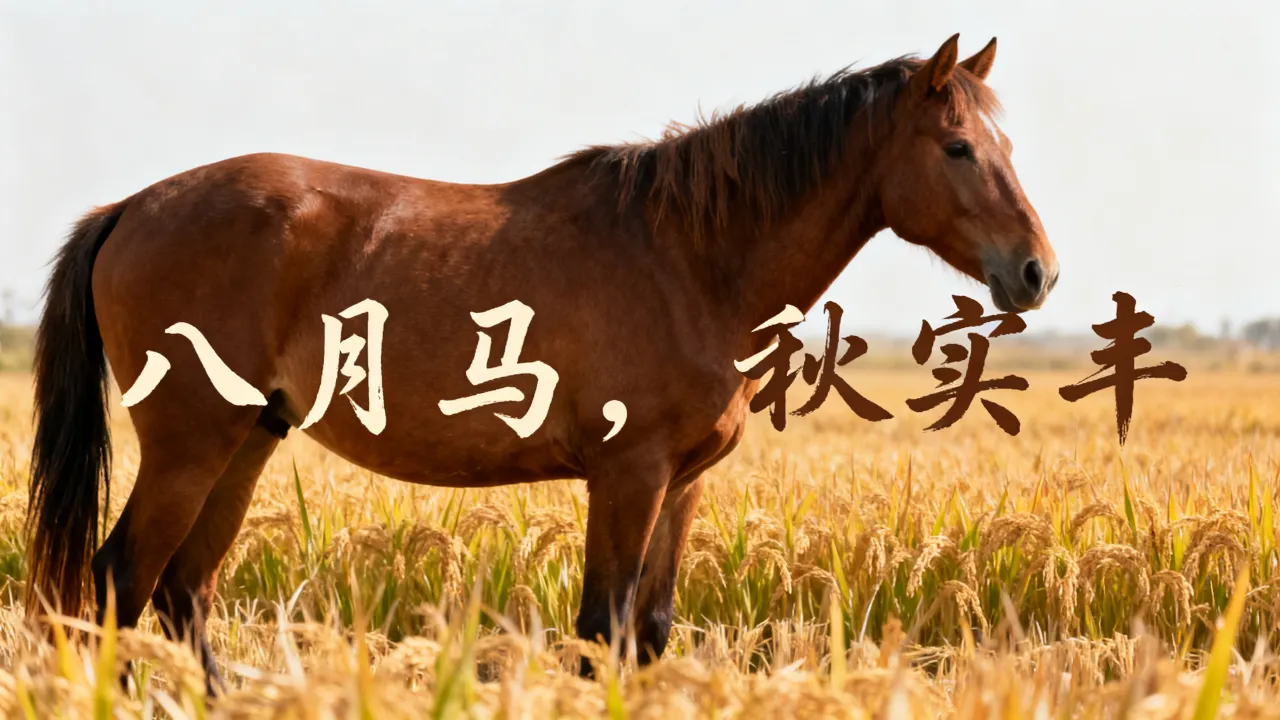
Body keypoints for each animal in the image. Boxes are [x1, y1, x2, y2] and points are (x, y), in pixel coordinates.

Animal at [25, 33, 1057, 691]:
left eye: (1007, 142)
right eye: (958, 147)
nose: (1037, 271)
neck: (689, 258)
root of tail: (131, 207)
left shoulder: (681, 485)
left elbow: (648, 634)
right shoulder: (628, 477)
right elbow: (603, 633)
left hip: (249, 440)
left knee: (182, 595)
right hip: (189, 449)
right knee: (121, 584)